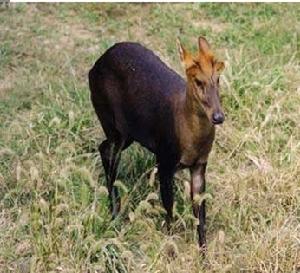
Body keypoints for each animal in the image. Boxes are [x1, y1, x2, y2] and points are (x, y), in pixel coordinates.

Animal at [89, 37, 225, 250]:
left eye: (217, 79)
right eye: (198, 81)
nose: (218, 117)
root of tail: (95, 66)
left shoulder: (200, 165)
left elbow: (200, 215)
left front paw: (204, 253)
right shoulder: (165, 161)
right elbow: (169, 209)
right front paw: (170, 247)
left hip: (128, 132)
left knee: (104, 148)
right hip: (112, 122)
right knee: (108, 152)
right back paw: (115, 214)